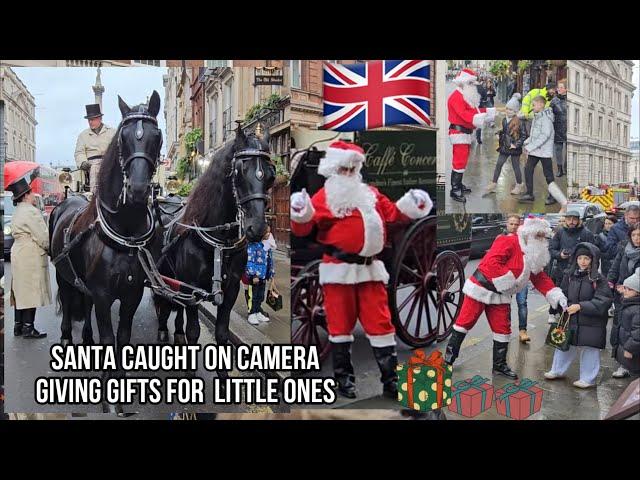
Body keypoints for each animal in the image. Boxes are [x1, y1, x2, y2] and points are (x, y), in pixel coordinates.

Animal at [49, 91, 162, 368]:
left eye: (157, 136)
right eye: (123, 136)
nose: (138, 189)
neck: (125, 233)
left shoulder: (132, 294)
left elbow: (123, 337)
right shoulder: (102, 295)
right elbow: (109, 339)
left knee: (84, 301)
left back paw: (88, 337)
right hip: (61, 273)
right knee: (67, 299)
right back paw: (66, 336)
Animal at [155, 126, 276, 368]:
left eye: (270, 175)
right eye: (239, 171)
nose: (258, 228)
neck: (218, 243)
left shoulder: (230, 290)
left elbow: (221, 334)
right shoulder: (191, 287)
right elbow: (194, 332)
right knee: (164, 300)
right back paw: (163, 328)